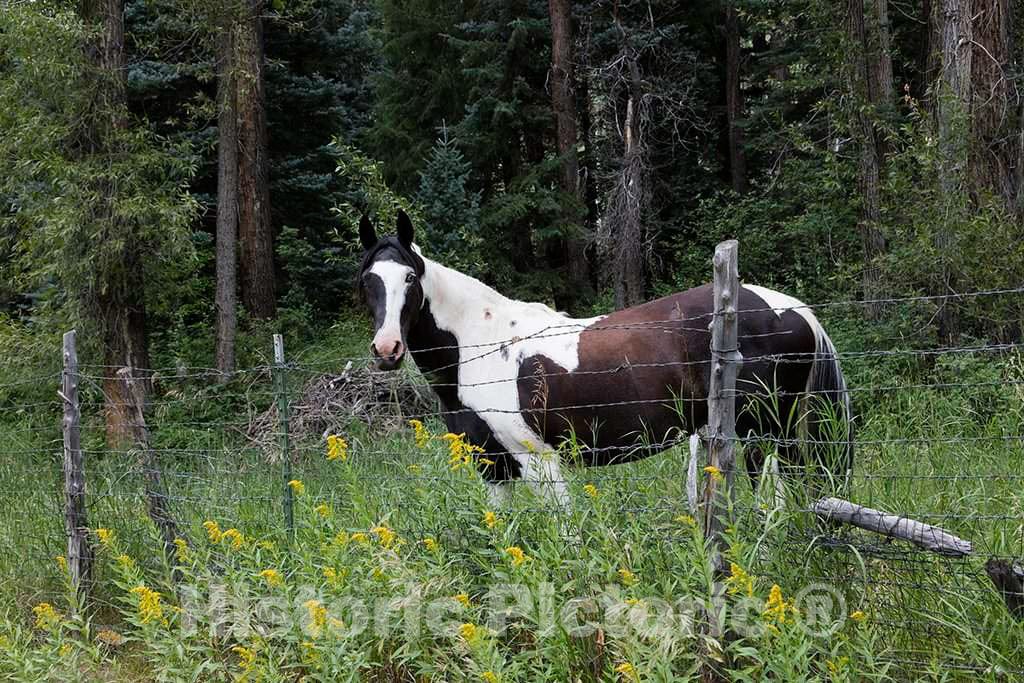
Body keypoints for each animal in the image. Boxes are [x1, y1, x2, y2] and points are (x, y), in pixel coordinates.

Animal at [357, 211, 852, 507]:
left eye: (409, 278)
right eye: (367, 280)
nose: (387, 350)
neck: (481, 346)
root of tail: (793, 308)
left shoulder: (540, 462)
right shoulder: (492, 468)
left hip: (764, 431)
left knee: (777, 493)